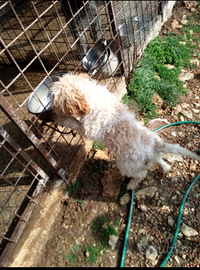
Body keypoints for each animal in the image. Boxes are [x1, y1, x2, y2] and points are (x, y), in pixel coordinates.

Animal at [50, 73, 200, 189]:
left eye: (56, 102)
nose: (51, 110)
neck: (91, 96)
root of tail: (155, 146)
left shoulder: (90, 129)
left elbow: (73, 123)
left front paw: (58, 119)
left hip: (126, 165)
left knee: (142, 174)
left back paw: (132, 185)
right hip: (151, 151)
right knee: (158, 159)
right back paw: (165, 167)